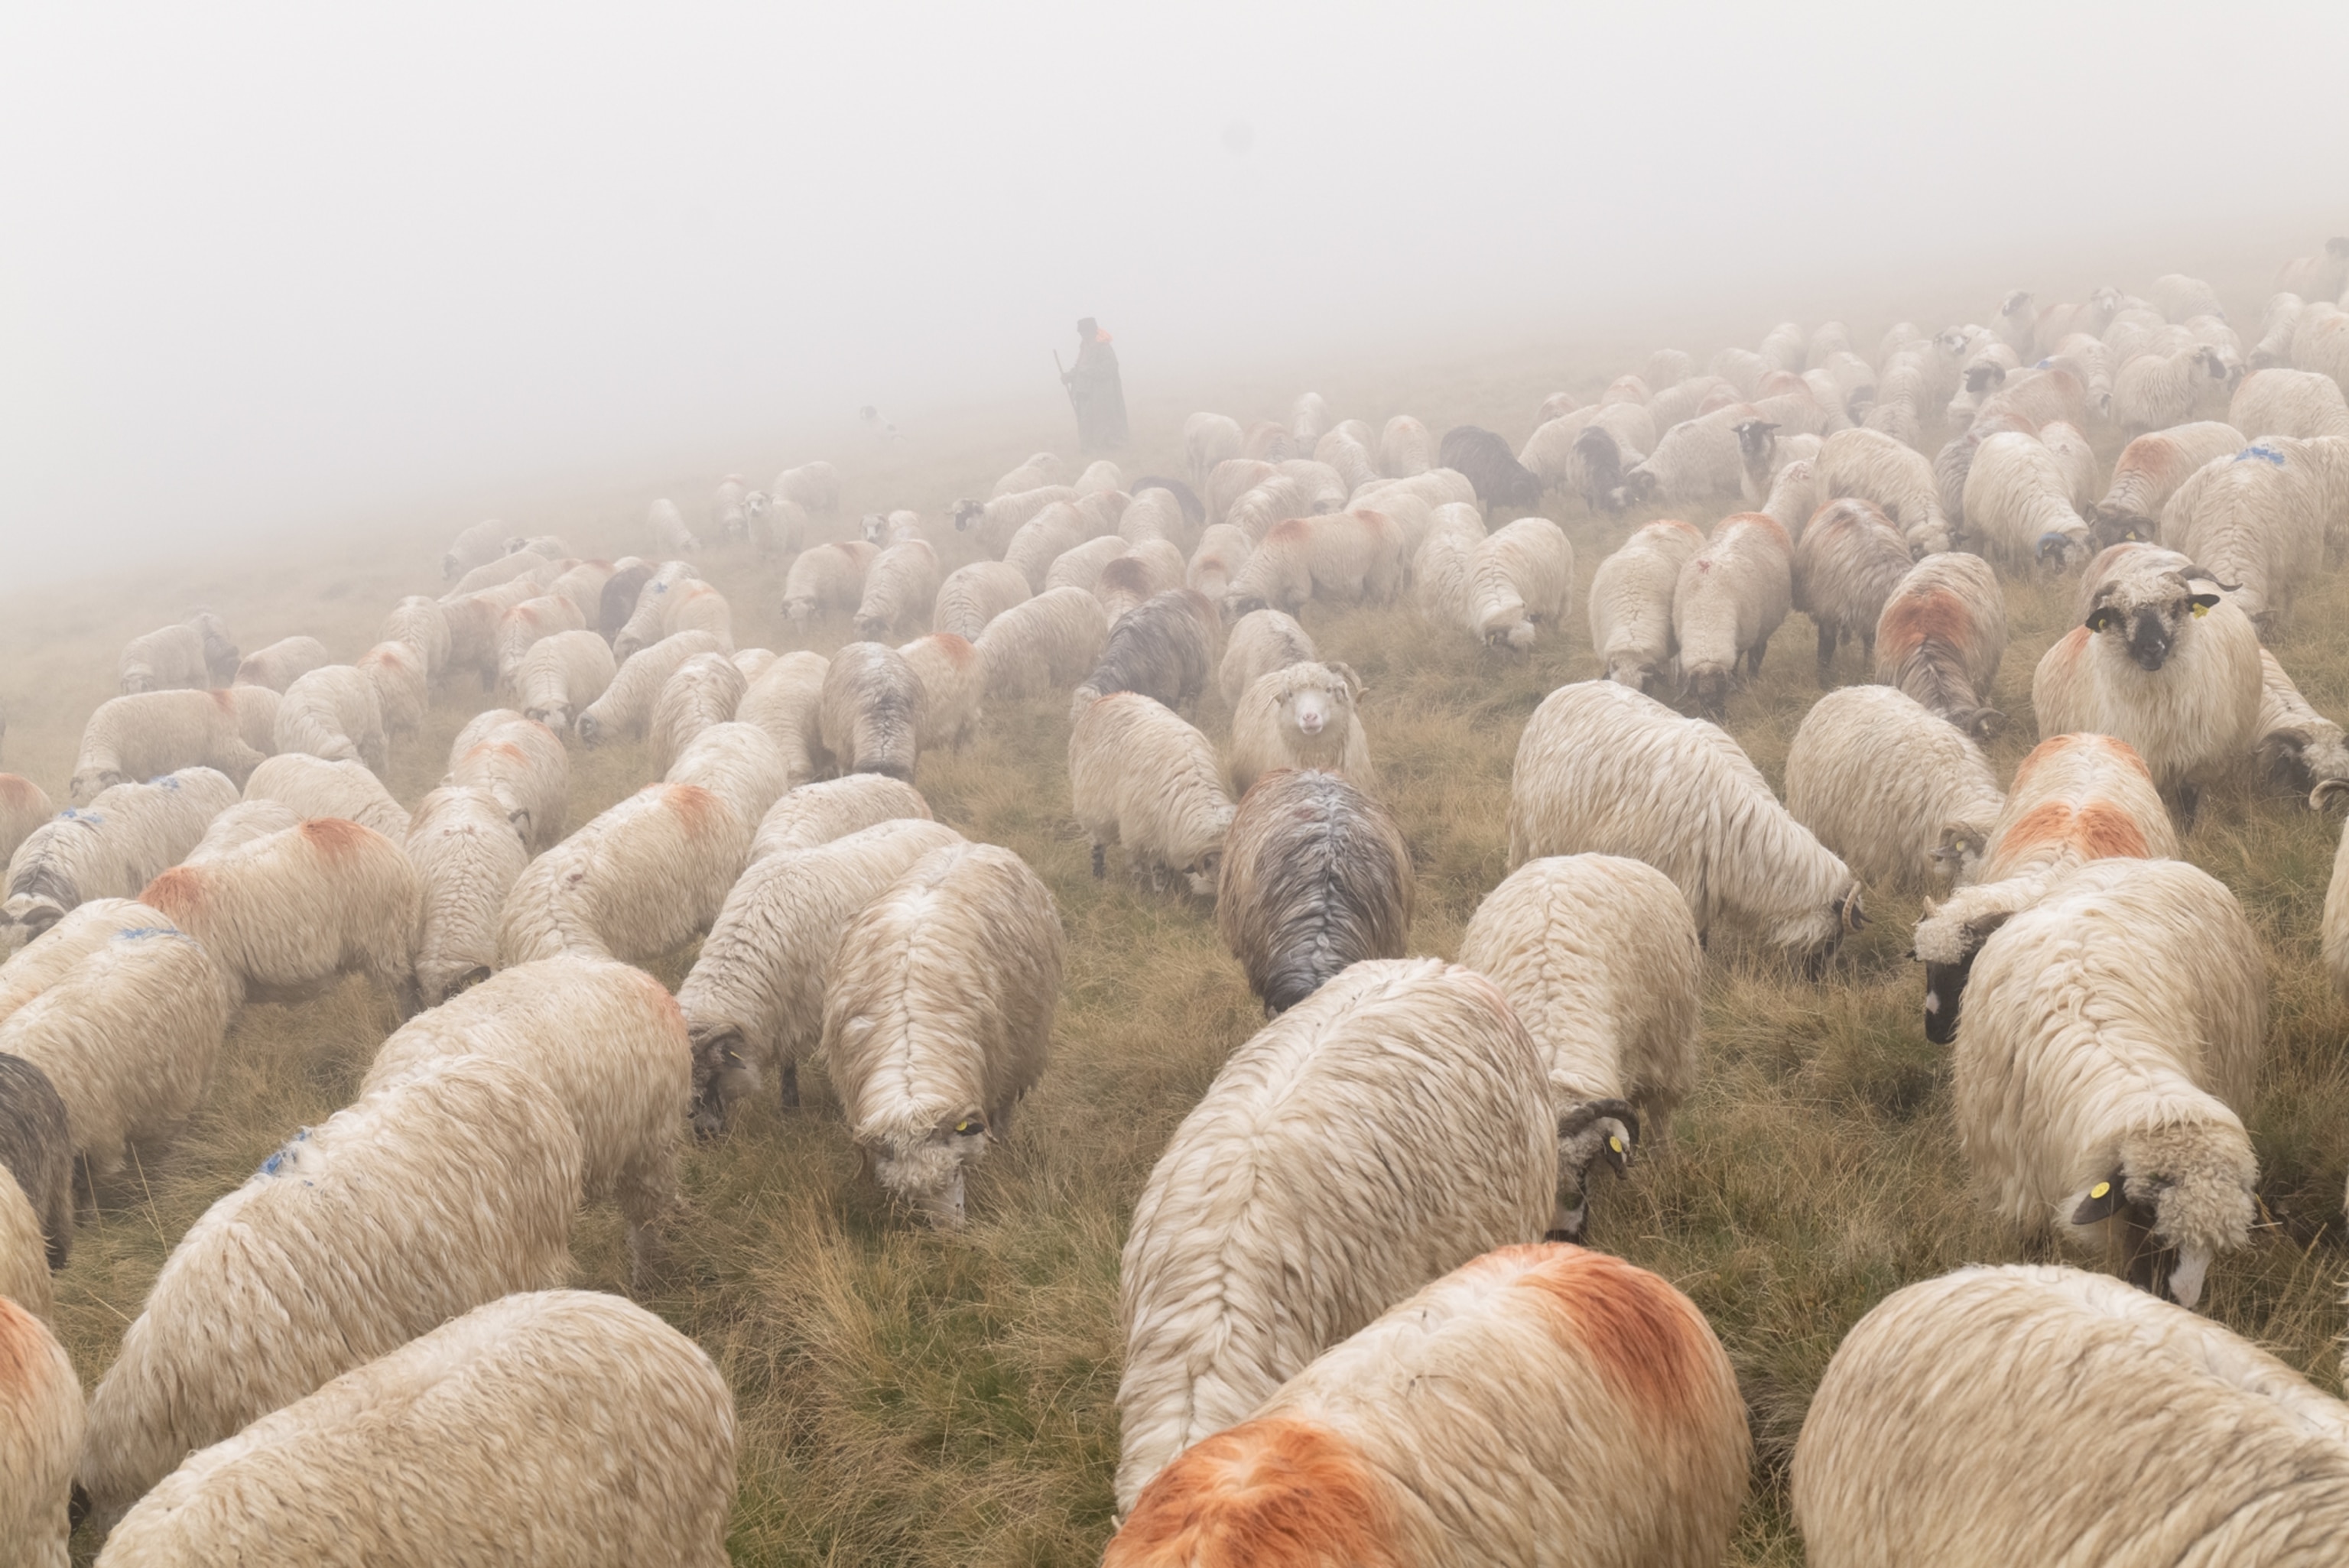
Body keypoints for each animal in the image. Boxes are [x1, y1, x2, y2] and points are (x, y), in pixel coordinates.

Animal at [70, 689, 266, 804]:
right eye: (82, 799)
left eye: (103, 793)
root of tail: (215, 698)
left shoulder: (141, 772)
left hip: (224, 747)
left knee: (250, 762)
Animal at [1070, 693, 1234, 896]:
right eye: (1216, 869)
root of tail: (1111, 696)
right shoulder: (1141, 831)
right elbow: (1151, 868)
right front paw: (1153, 893)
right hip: (1092, 803)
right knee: (1097, 843)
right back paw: (1099, 876)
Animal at [1672, 512, 1793, 719]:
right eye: (1698, 696)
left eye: (1722, 691)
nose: (1717, 720)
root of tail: (1756, 514)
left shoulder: (1744, 640)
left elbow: (1738, 666)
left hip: (1763, 625)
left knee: (1758, 652)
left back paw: (1754, 677)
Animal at [2032, 552, 2260, 817]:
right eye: (2118, 615)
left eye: (2175, 607)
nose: (2152, 649)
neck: (2155, 708)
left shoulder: (2196, 765)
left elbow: (2188, 808)